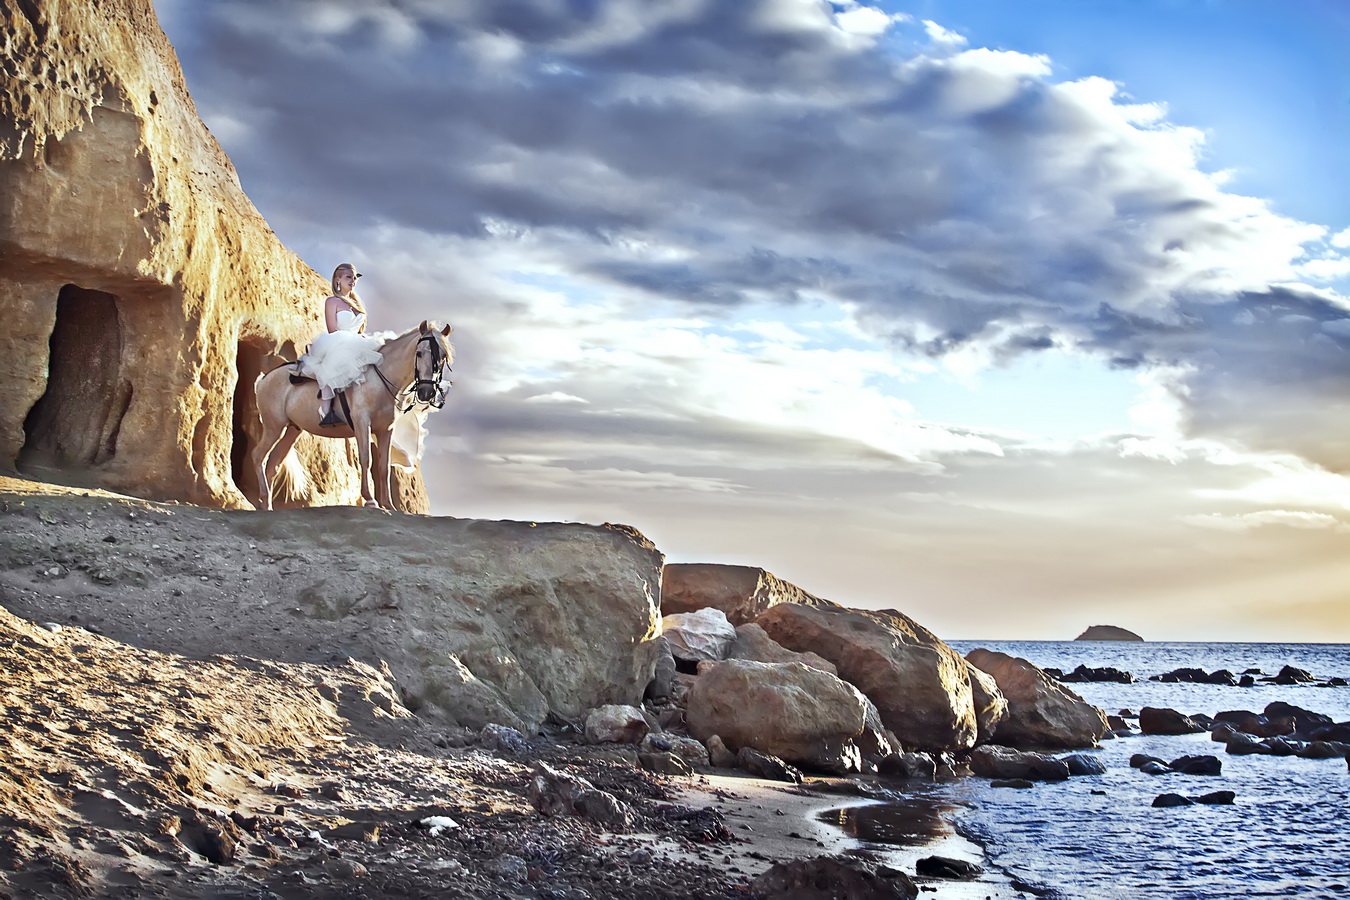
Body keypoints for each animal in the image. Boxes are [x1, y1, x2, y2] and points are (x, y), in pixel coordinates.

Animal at [255, 319, 456, 510]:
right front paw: (370, 499)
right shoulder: (362, 423)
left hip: (292, 430)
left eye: (443, 357)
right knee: (258, 456)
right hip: (274, 427)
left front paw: (388, 504)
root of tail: (264, 378)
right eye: (420, 353)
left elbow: (384, 466)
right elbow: (366, 458)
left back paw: (268, 505)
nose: (426, 392)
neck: (379, 380)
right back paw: (263, 499)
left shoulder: (385, 430)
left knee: (273, 465)